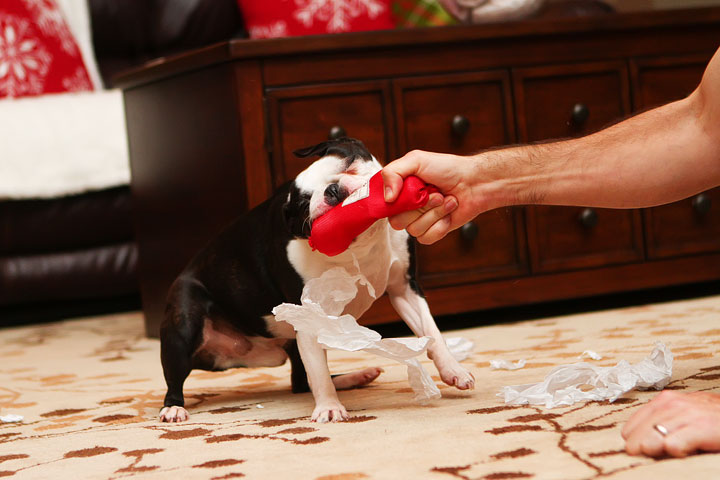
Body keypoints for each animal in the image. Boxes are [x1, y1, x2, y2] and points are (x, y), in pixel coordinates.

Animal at [160, 137, 476, 422]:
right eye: (303, 203)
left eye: (348, 164)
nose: (332, 190)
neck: (359, 243)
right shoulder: (309, 314)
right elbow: (318, 371)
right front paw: (329, 408)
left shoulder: (405, 289)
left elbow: (432, 332)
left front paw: (454, 370)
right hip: (184, 322)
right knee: (175, 377)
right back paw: (173, 408)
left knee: (300, 381)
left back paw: (356, 376)